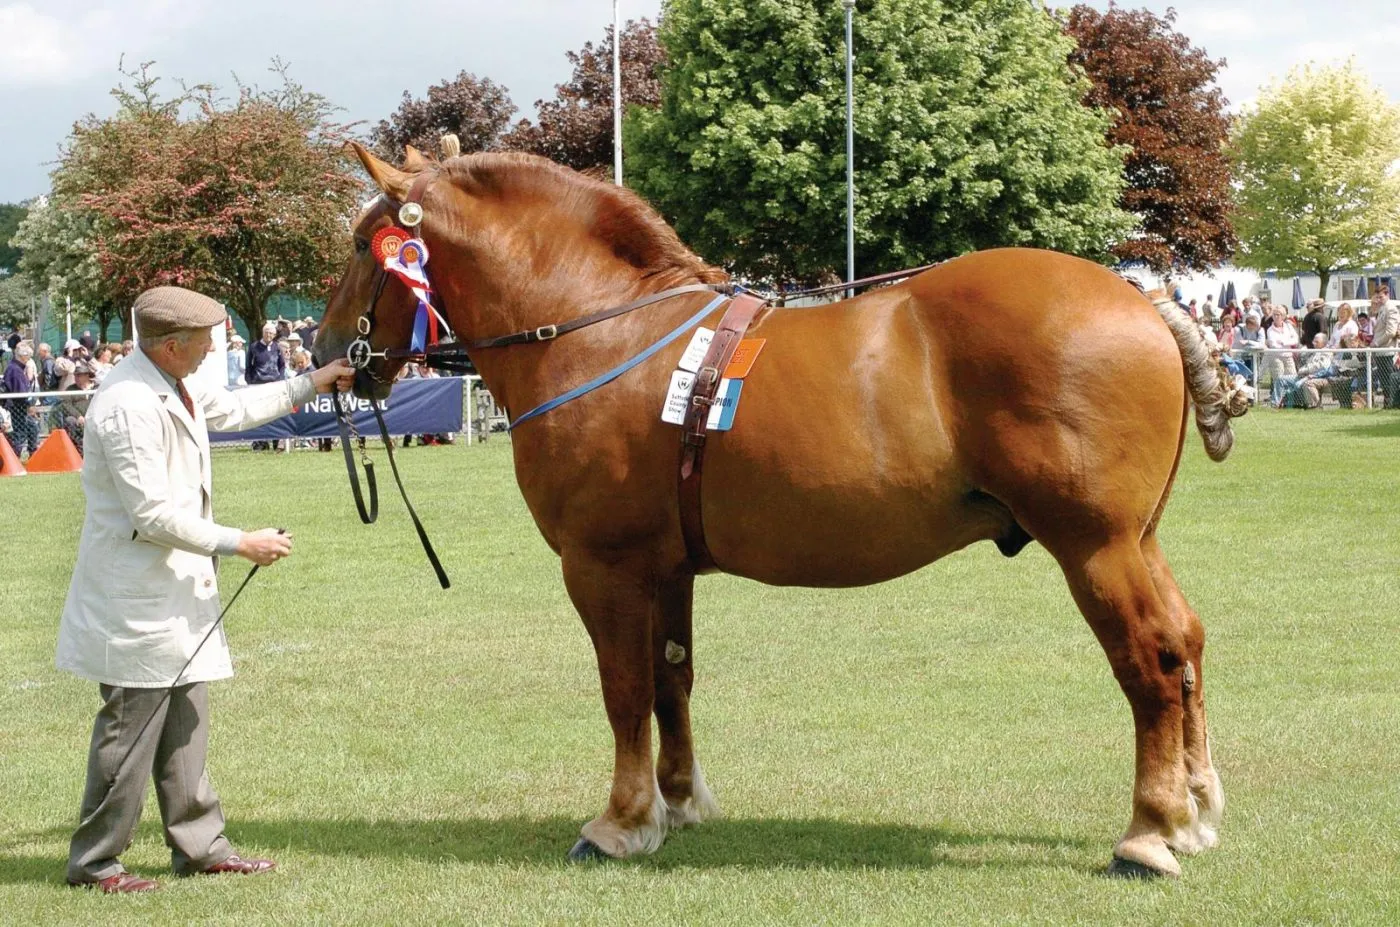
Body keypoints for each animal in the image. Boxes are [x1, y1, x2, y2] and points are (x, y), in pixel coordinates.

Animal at [314, 141, 1247, 878]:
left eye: (364, 242)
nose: (325, 351)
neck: (602, 332)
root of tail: (1141, 301)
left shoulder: (603, 566)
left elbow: (623, 688)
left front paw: (620, 821)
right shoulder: (666, 568)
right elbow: (671, 677)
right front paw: (678, 801)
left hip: (1095, 547)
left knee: (1152, 659)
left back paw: (1149, 831)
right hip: (1138, 540)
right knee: (1188, 641)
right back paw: (1196, 808)